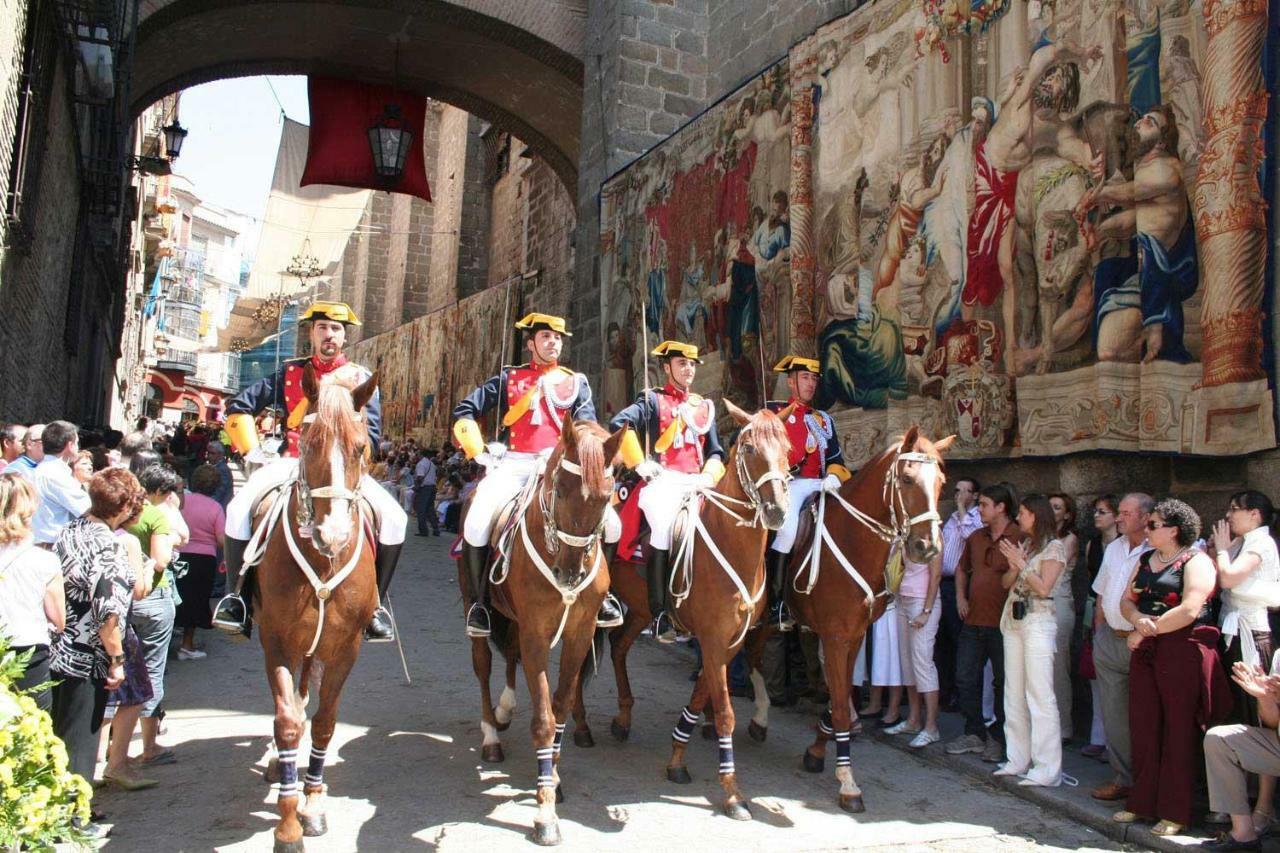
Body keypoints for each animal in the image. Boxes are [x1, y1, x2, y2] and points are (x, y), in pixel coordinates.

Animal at [250, 363, 378, 850]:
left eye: (361, 447)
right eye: (307, 444)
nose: (333, 535)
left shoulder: (345, 648)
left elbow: (325, 722)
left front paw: (314, 804)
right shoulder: (276, 641)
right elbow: (286, 721)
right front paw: (288, 825)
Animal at [463, 420, 627, 845]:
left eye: (607, 497)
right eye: (560, 487)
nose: (569, 572)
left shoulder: (579, 635)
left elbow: (562, 707)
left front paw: (552, 777)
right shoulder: (537, 632)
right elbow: (543, 718)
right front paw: (545, 813)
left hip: (519, 623)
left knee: (510, 658)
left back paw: (505, 709)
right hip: (480, 612)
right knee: (484, 667)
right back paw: (491, 734)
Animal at [742, 425, 952, 809]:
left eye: (941, 481)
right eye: (907, 478)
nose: (928, 547)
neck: (854, 540)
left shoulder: (853, 637)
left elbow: (838, 700)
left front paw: (817, 750)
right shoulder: (836, 638)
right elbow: (840, 705)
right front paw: (847, 781)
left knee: (753, 658)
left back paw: (759, 719)